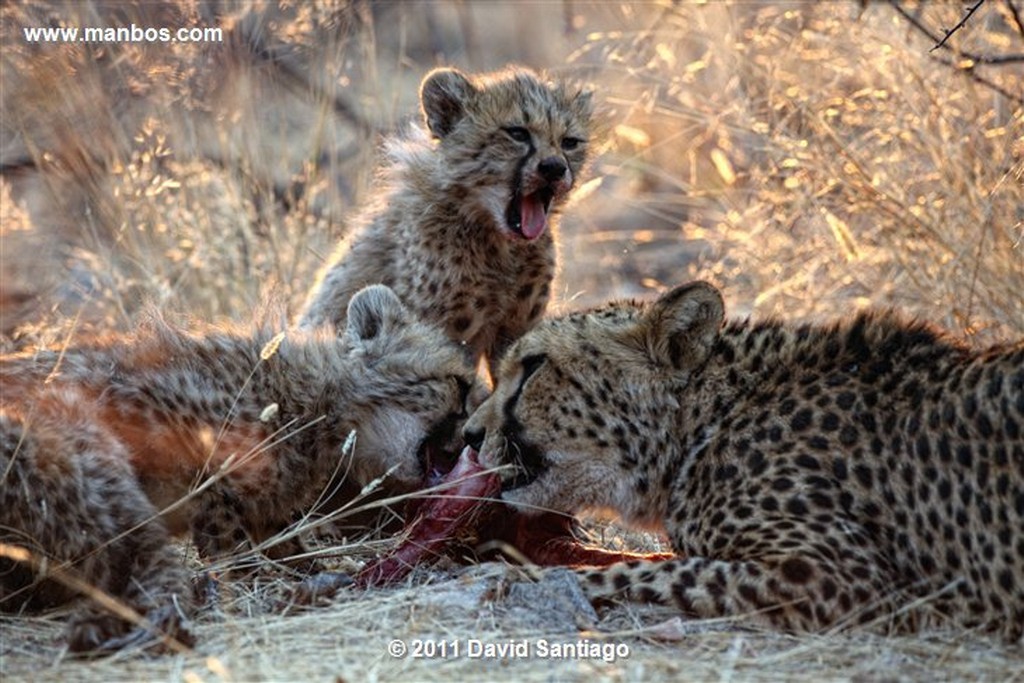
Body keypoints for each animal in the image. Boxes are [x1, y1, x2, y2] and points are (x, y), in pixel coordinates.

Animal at [466, 278, 1024, 643]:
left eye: (534, 367)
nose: (470, 435)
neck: (707, 418)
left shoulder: (845, 578)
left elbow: (647, 572)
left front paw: (517, 579)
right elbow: (658, 563)